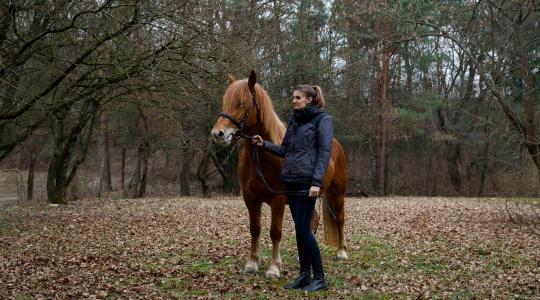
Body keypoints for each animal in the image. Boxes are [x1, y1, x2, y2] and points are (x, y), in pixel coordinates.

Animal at [211, 71, 346, 278]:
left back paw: (342, 252)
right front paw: (252, 263)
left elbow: (275, 231)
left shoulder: (278, 199)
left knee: (339, 219)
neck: (261, 157)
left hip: (337, 194)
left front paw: (274, 268)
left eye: (242, 102)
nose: (218, 134)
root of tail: (336, 145)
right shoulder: (250, 198)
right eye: (225, 102)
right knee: (311, 222)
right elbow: (255, 229)